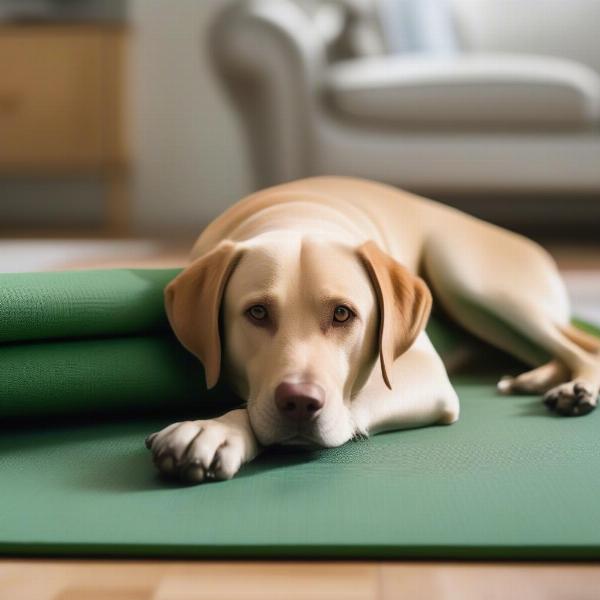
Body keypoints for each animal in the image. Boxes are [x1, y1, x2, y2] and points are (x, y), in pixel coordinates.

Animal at [145, 177, 600, 482]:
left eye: (343, 314)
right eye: (257, 313)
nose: (300, 402)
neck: (298, 215)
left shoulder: (424, 372)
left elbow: (351, 401)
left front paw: (217, 429)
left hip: (469, 278)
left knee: (583, 348)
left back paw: (577, 389)